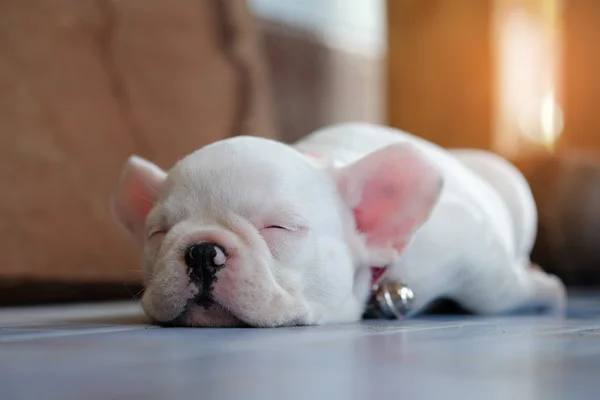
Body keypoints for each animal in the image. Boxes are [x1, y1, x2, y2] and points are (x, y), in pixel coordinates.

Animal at [111, 122, 568, 328]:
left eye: (279, 228)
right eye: (158, 233)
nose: (203, 251)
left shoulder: (474, 253)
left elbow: (498, 290)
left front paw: (546, 287)